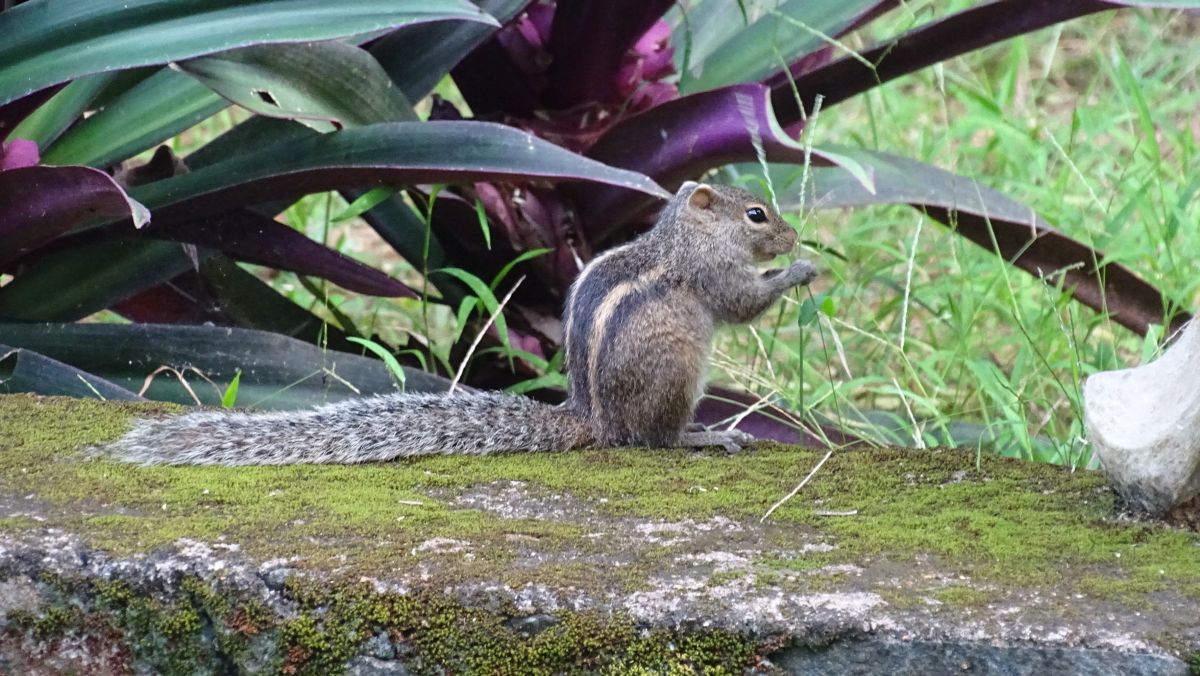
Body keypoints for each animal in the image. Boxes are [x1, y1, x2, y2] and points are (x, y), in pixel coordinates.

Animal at [105, 181, 816, 465]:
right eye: (756, 215)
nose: (793, 234)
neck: (683, 236)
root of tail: (593, 417)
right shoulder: (713, 274)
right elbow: (741, 304)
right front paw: (800, 271)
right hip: (676, 378)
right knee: (655, 440)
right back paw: (708, 436)